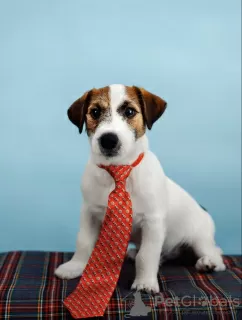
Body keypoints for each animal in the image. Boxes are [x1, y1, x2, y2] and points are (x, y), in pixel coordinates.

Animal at [54, 83, 225, 292]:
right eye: (95, 112)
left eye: (129, 111)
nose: (108, 140)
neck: (118, 171)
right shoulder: (89, 213)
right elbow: (84, 242)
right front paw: (75, 266)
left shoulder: (153, 222)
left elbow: (147, 255)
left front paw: (145, 282)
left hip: (199, 238)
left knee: (216, 253)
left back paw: (208, 262)